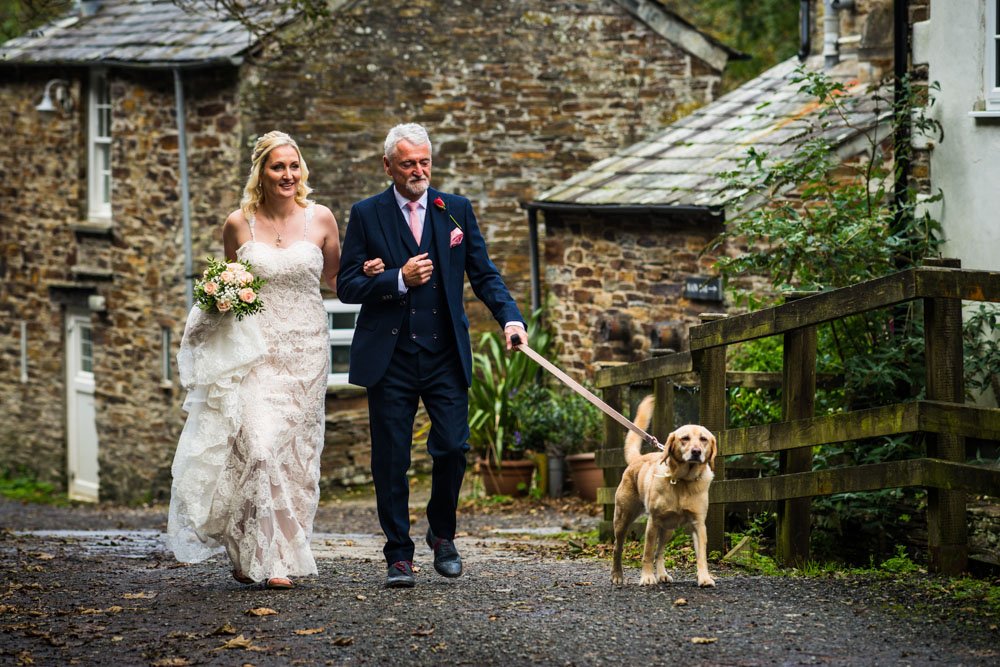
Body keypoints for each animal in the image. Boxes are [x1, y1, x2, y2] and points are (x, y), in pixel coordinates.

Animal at [612, 396, 716, 588]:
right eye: (685, 438)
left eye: (704, 439)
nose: (696, 452)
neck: (683, 481)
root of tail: (638, 458)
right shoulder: (653, 522)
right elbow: (647, 553)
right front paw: (647, 577)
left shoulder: (698, 524)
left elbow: (701, 556)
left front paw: (704, 577)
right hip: (622, 519)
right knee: (618, 547)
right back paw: (617, 575)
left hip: (668, 529)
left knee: (660, 552)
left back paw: (662, 574)